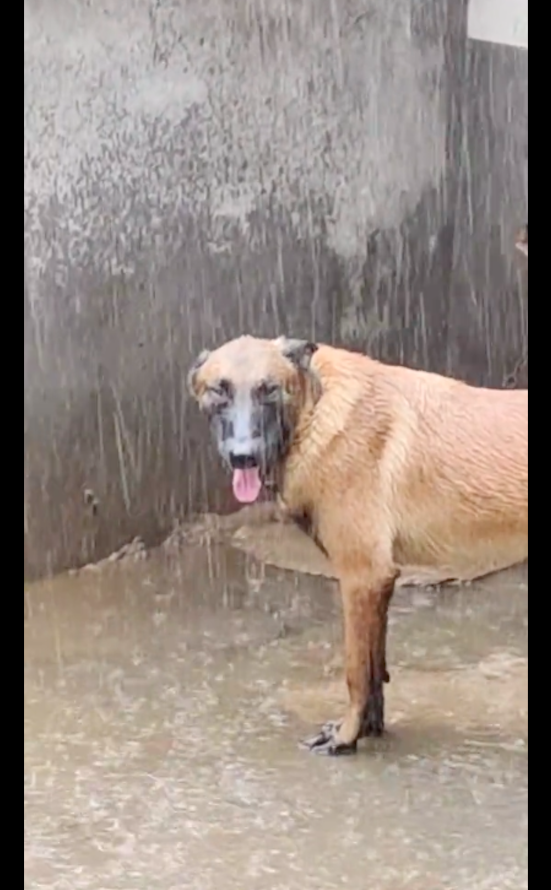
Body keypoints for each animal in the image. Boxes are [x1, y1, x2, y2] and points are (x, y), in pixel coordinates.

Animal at [190, 336, 532, 752]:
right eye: (219, 390)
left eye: (268, 389)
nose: (244, 456)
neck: (315, 410)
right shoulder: (378, 585)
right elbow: (374, 670)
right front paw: (370, 728)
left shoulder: (361, 578)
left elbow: (355, 670)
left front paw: (346, 736)